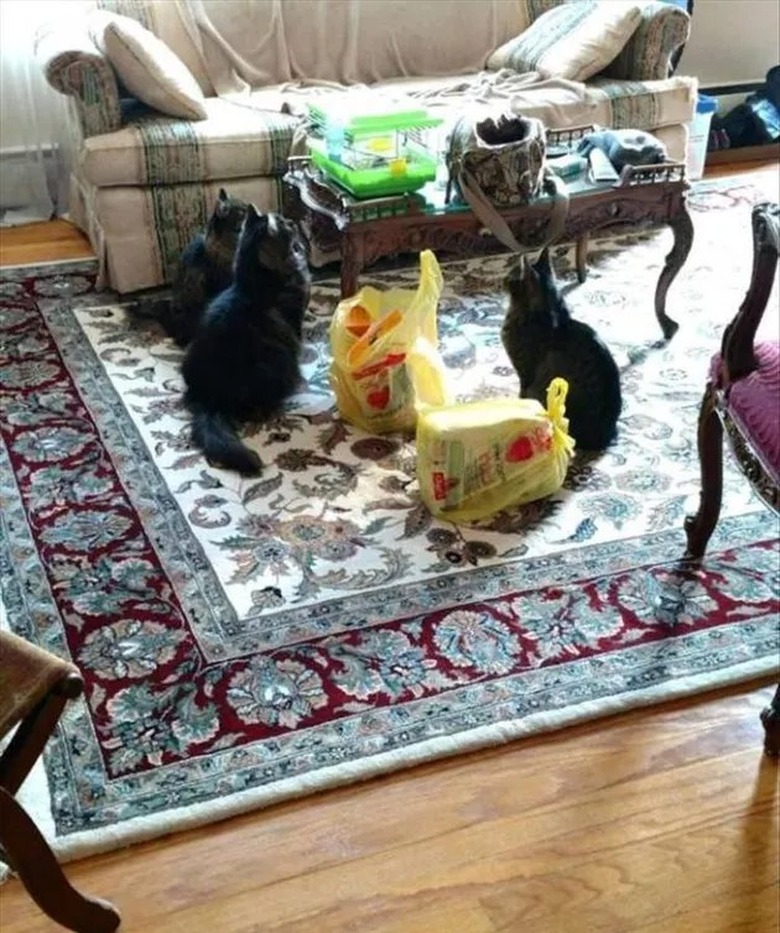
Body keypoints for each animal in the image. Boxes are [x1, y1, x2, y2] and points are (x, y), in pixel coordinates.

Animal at [181, 199, 312, 470]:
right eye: (284, 224)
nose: (293, 221)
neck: (251, 284)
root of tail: (208, 397)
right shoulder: (296, 320)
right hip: (277, 359)